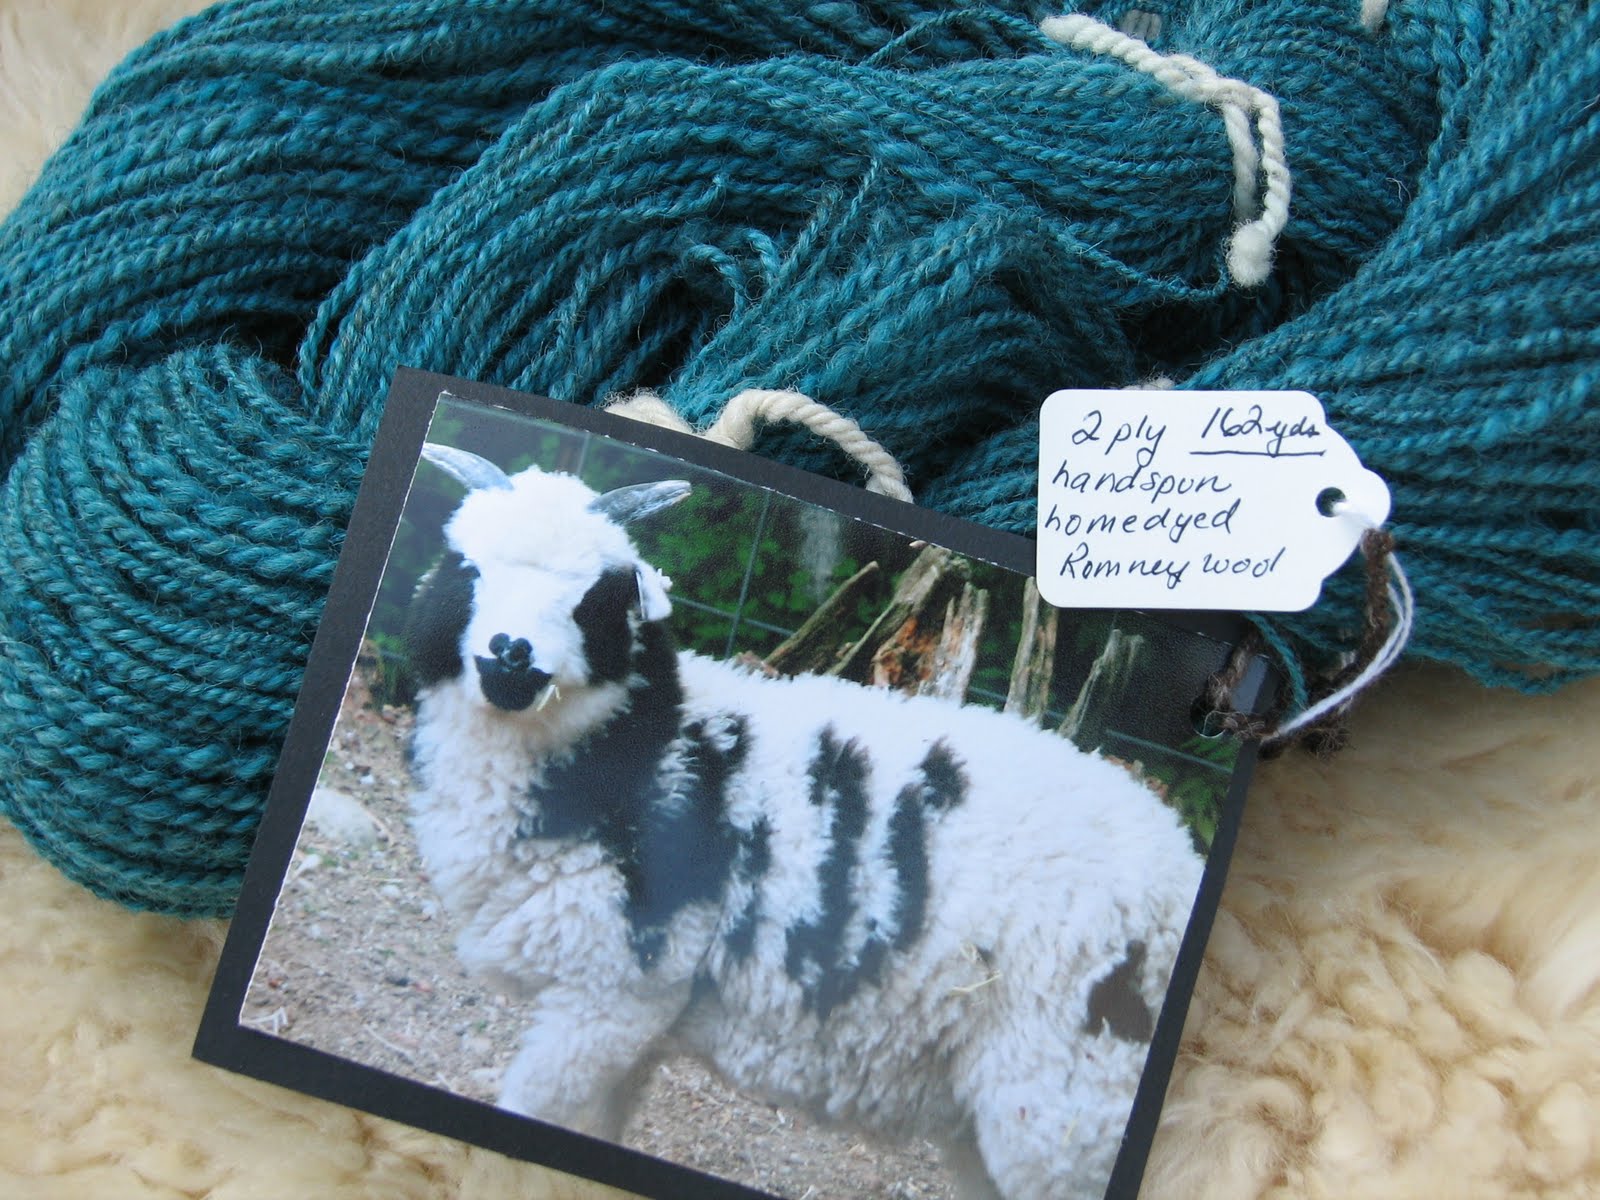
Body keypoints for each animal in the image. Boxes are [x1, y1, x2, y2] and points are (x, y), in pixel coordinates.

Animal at [402, 443, 1207, 1200]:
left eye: (595, 600)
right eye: (467, 570)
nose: (511, 656)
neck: (643, 746)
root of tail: (1182, 863)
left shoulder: (611, 993)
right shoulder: (632, 1021)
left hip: (1071, 1101)